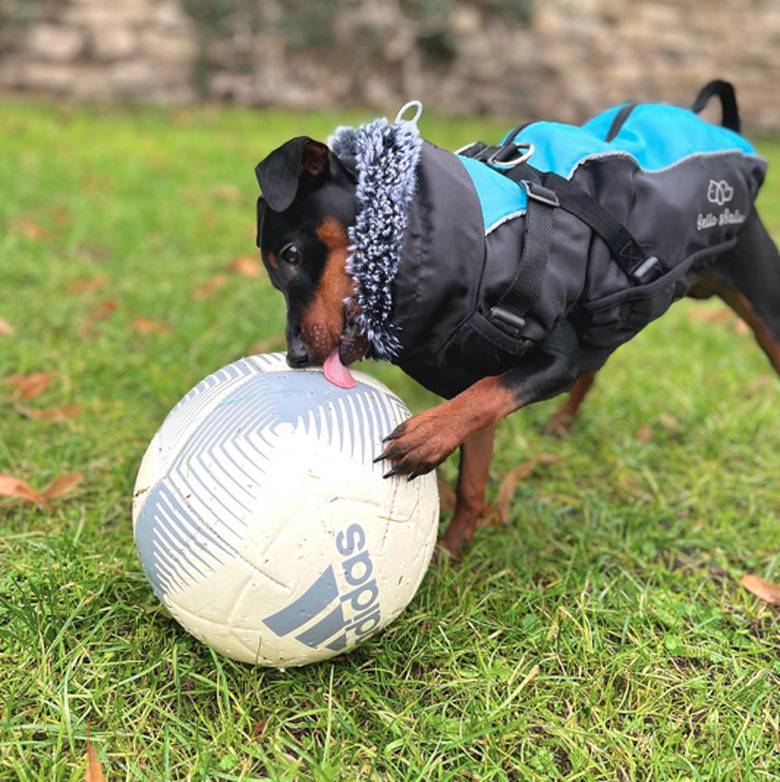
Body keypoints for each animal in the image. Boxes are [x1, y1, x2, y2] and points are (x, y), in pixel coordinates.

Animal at [256, 82, 780, 556]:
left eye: (291, 254)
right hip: (608, 316)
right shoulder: (478, 358)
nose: (295, 356)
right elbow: (473, 468)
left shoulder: (550, 361)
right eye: (273, 272)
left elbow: (488, 395)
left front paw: (428, 436)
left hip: (759, 304)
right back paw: (563, 425)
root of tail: (726, 131)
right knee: (596, 364)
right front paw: (454, 553)